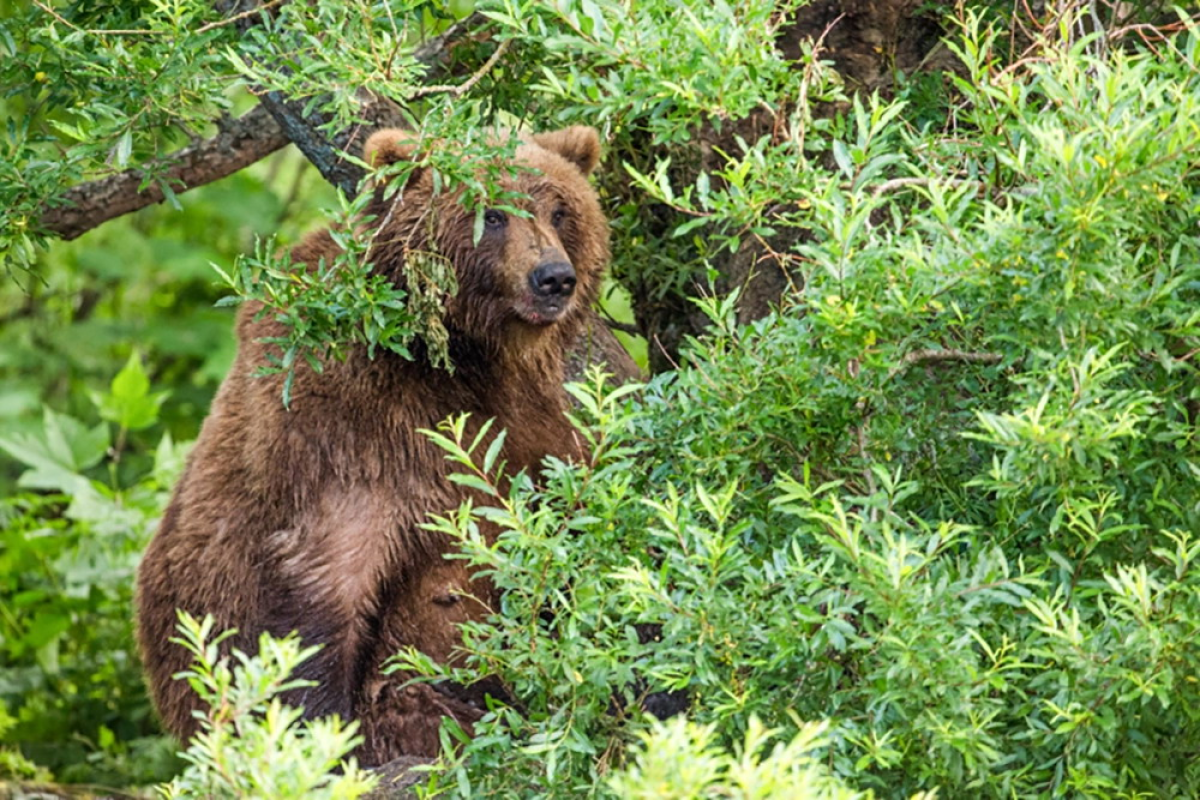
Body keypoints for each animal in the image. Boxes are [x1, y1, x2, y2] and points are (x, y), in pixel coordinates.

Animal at [135, 125, 612, 765]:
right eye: (490, 213)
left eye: (561, 209)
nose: (553, 277)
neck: (467, 359)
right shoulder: (347, 428)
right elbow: (326, 582)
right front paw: (322, 742)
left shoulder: (534, 423)